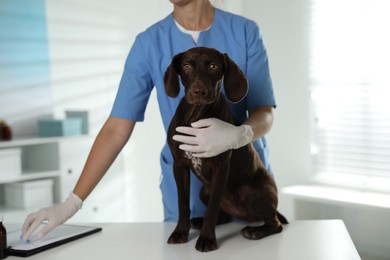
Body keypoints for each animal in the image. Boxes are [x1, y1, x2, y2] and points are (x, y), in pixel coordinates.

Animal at [163, 46, 288, 252]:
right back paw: (198, 221)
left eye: (213, 66)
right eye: (187, 66)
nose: (199, 92)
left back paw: (255, 231)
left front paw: (207, 239)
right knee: (225, 216)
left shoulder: (220, 167)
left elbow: (212, 209)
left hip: (249, 190)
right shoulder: (179, 166)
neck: (197, 116)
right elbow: (183, 204)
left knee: (275, 223)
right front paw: (180, 232)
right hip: (204, 191)